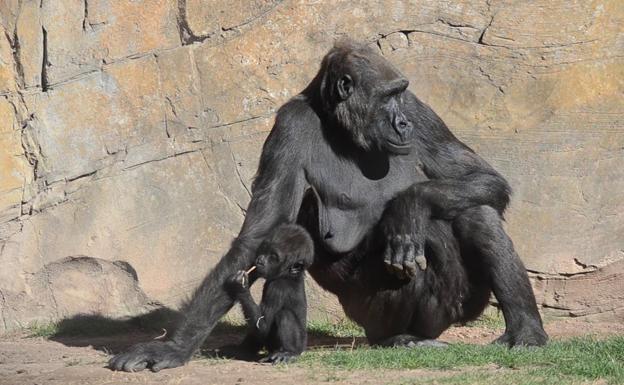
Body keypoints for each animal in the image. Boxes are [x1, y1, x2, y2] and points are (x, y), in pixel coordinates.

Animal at [225, 224, 314, 362]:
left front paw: (240, 286)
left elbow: (263, 326)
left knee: (284, 315)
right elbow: (257, 327)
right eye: (264, 249)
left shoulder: (277, 288)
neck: (288, 275)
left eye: (273, 256)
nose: (260, 260)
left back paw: (289, 352)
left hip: (299, 346)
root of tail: (304, 349)